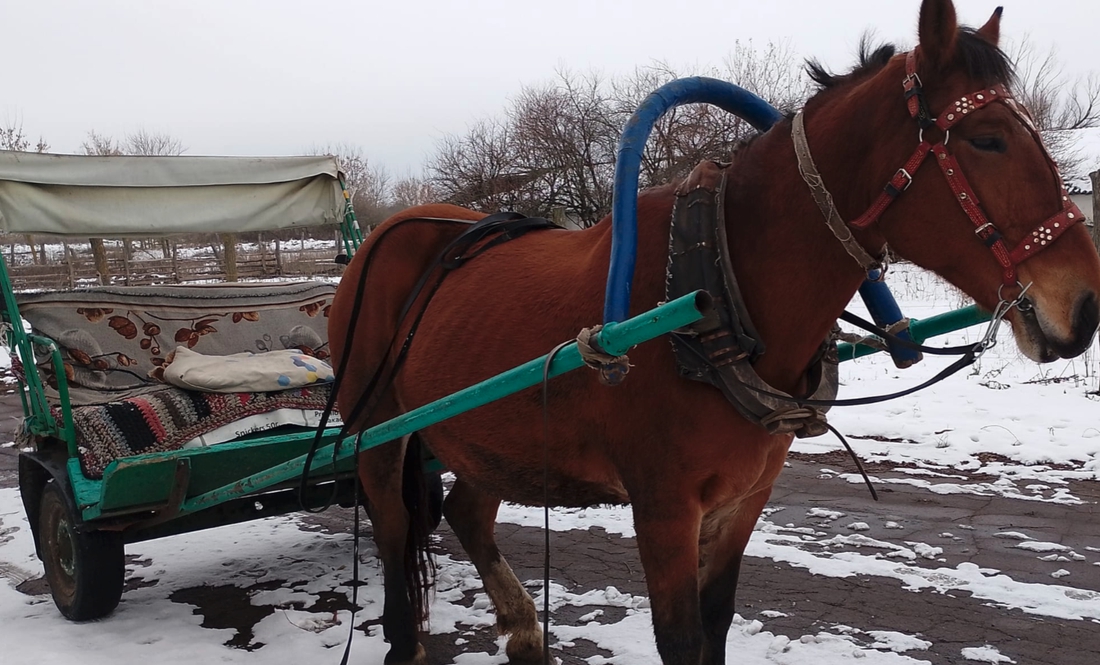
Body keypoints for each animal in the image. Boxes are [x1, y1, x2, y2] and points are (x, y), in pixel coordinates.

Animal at [325, 2, 1100, 659]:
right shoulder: (664, 508)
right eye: (987, 139)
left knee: (468, 511)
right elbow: (681, 638)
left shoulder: (742, 499)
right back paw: (405, 638)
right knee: (392, 527)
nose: (1086, 306)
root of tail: (389, 234)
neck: (716, 293)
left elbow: (718, 621)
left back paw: (521, 627)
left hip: (491, 432)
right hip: (380, 430)